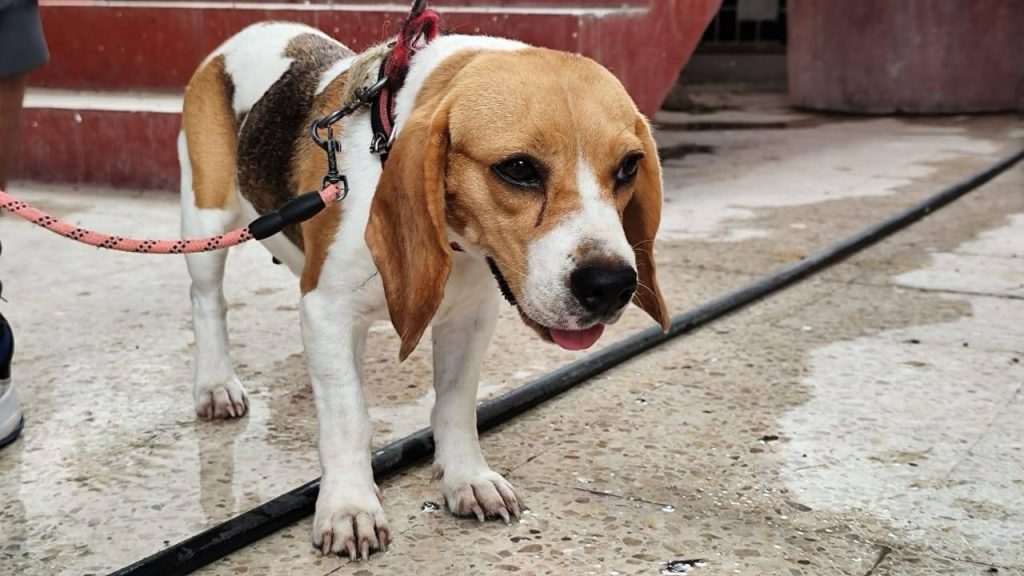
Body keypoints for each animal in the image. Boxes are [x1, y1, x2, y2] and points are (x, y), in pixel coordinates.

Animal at [179, 20, 668, 558]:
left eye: (628, 167)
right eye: (518, 168)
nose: (611, 285)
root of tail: (257, 27)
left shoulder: (471, 318)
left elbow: (455, 405)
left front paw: (467, 478)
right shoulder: (328, 311)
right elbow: (348, 417)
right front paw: (349, 505)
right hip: (206, 221)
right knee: (208, 303)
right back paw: (215, 385)